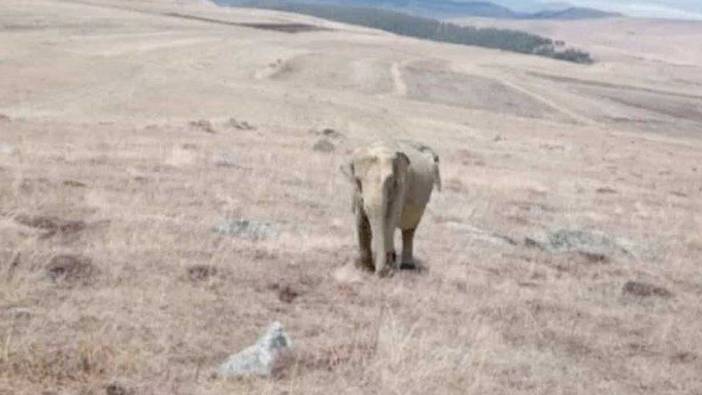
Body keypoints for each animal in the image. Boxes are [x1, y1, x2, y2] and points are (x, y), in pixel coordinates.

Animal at [344, 141, 442, 276]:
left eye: (390, 180)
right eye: (358, 180)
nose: (382, 272)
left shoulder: (401, 185)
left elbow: (390, 218)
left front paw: (387, 269)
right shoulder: (357, 192)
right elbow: (361, 220)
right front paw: (366, 270)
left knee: (409, 229)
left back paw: (407, 266)